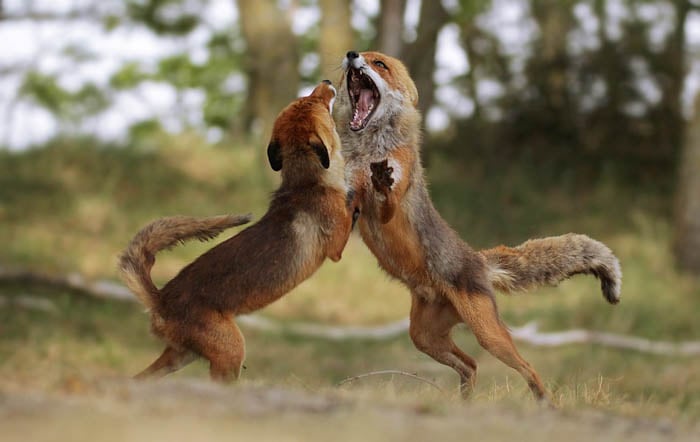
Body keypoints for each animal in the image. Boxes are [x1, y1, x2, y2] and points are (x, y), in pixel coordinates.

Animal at [119, 80, 358, 382]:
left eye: (305, 99)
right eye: (313, 102)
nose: (326, 82)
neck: (307, 183)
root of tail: (160, 299)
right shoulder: (336, 247)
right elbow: (355, 202)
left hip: (181, 356)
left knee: (139, 379)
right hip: (231, 352)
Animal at [334, 50, 622, 404]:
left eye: (380, 64)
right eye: (363, 56)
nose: (351, 54)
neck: (366, 151)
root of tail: (479, 260)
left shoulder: (390, 202)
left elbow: (386, 198)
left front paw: (381, 182)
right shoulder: (349, 197)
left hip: (488, 336)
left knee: (526, 367)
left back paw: (543, 403)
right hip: (424, 337)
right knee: (470, 365)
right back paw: (465, 402)